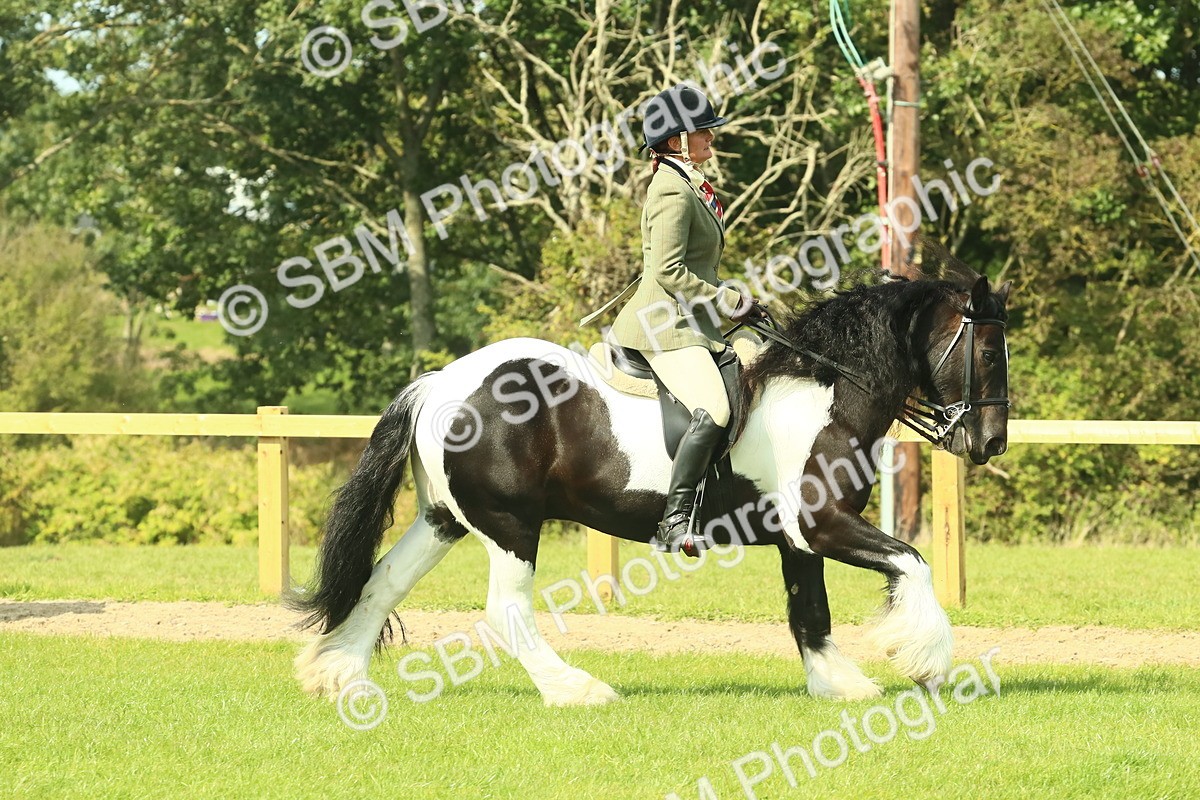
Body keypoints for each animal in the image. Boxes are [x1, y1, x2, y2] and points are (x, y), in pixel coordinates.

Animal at [289, 264, 1012, 706]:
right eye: (985, 352)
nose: (989, 443)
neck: (824, 391)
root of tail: (438, 383)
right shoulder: (823, 524)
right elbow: (911, 563)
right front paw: (925, 659)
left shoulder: (798, 541)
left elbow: (810, 613)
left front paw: (840, 684)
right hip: (510, 524)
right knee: (506, 610)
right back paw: (576, 689)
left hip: (445, 519)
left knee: (382, 583)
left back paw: (339, 677)